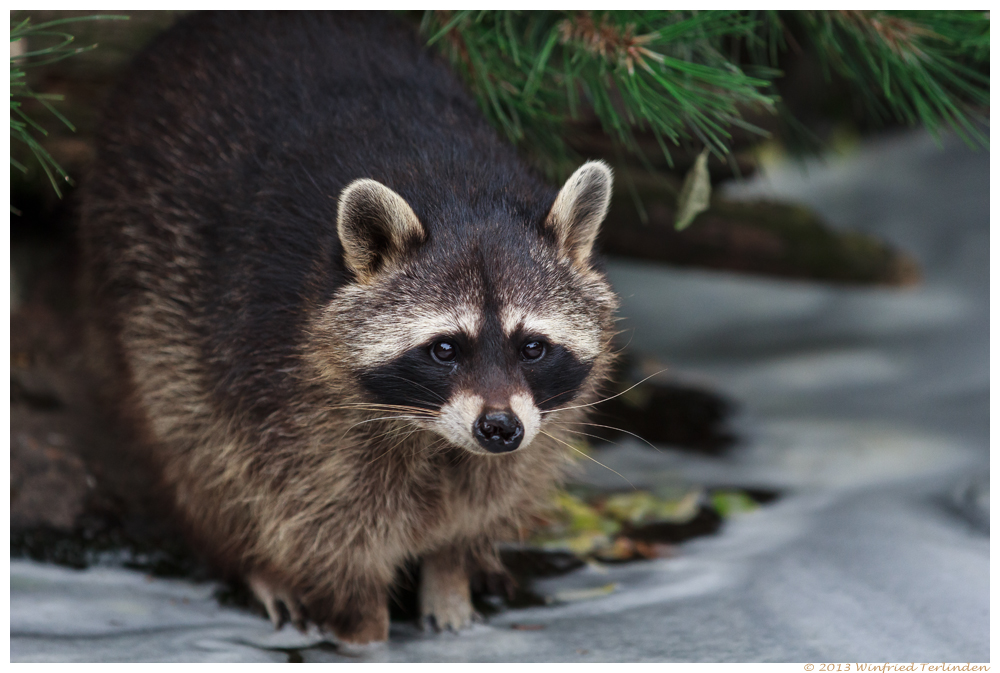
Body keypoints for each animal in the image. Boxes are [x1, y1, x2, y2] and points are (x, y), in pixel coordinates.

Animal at [82, 9, 616, 640]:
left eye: (532, 347)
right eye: (444, 349)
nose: (499, 428)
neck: (460, 192)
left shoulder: (528, 427)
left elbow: (484, 497)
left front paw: (452, 576)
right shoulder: (275, 376)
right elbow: (320, 518)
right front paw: (362, 627)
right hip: (145, 278)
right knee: (191, 437)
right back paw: (252, 562)